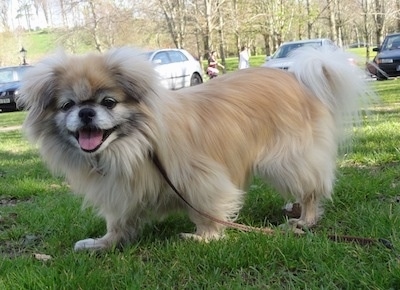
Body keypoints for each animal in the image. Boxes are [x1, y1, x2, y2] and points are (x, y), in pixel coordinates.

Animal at [18, 46, 368, 250]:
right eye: (67, 106)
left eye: (109, 102)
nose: (86, 113)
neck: (135, 145)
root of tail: (300, 80)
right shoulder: (120, 191)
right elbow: (119, 222)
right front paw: (104, 243)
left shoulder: (199, 179)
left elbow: (206, 210)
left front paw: (204, 238)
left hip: (285, 159)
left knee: (312, 189)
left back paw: (305, 219)